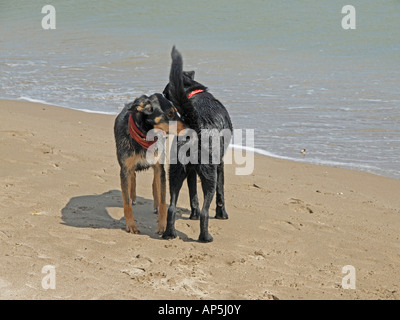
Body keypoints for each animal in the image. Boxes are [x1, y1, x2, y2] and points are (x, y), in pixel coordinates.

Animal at [115, 92, 185, 235]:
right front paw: (131, 225)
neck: (145, 136)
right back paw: (133, 196)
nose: (188, 128)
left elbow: (163, 200)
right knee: (133, 179)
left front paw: (163, 226)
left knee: (155, 183)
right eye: (170, 114)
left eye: (176, 112)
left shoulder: (160, 168)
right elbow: (126, 202)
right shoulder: (125, 169)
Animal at [162, 47, 233, 242]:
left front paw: (191, 214)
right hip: (209, 174)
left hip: (175, 171)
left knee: (171, 207)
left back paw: (169, 234)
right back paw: (205, 237)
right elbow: (221, 193)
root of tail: (195, 125)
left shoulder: (191, 172)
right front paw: (222, 214)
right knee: (205, 211)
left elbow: (193, 194)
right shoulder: (220, 165)